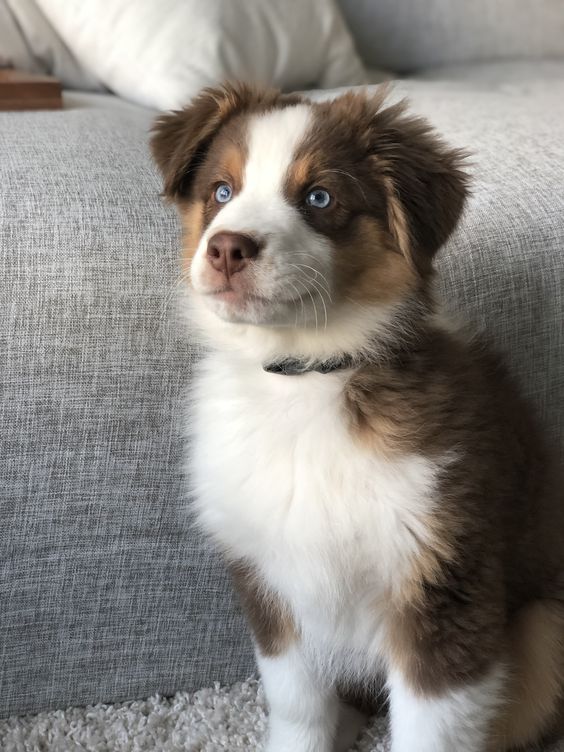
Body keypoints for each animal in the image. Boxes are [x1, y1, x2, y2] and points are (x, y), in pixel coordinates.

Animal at [150, 83, 564, 752]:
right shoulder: (269, 581)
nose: (226, 248)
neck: (306, 378)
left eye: (319, 197)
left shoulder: (444, 586)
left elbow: (430, 730)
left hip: (544, 626)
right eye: (221, 191)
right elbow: (297, 703)